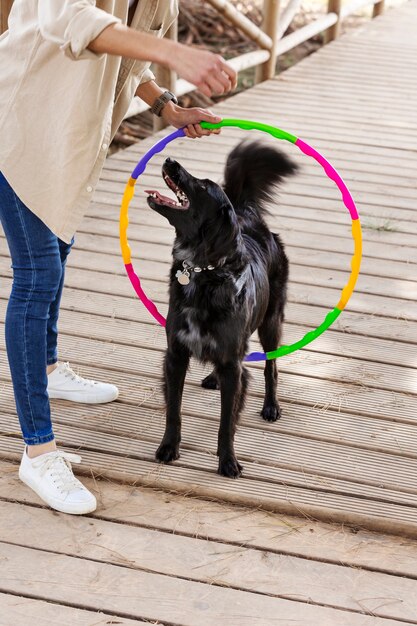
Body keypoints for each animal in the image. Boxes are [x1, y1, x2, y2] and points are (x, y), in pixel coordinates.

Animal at [146, 139, 296, 476]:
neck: (203, 272)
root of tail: (246, 211)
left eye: (202, 186)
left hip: (271, 322)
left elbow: (227, 420)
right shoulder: (175, 355)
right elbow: (174, 410)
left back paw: (271, 406)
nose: (170, 159)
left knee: (271, 366)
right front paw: (168, 447)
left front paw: (228, 460)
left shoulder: (232, 366)